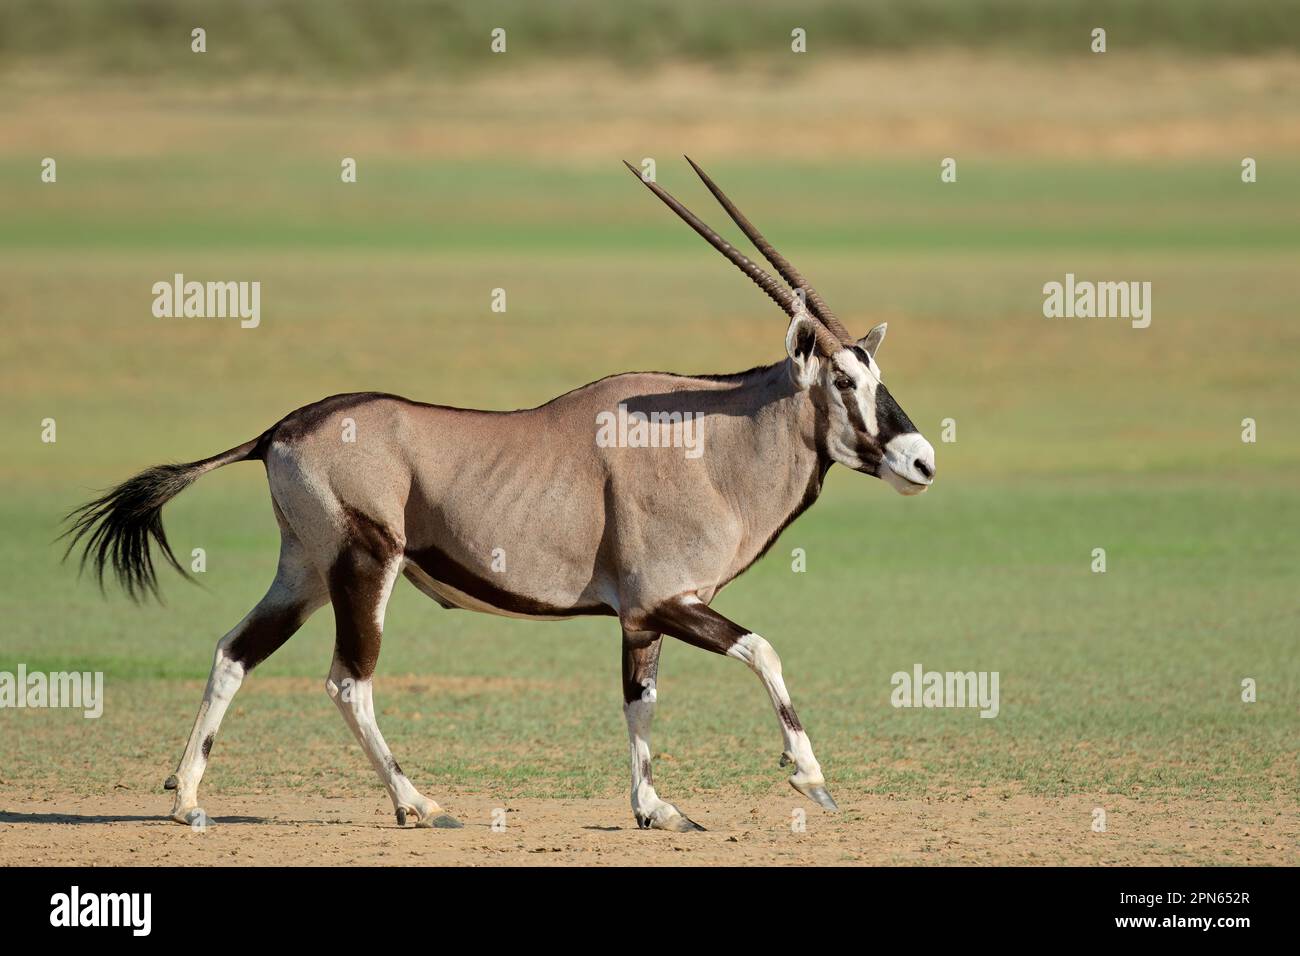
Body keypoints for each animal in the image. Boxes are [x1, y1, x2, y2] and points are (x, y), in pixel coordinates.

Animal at [64, 158, 936, 832]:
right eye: (843, 379)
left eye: (875, 373)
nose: (921, 460)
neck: (709, 441)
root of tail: (279, 428)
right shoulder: (669, 601)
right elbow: (763, 649)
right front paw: (809, 777)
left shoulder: (640, 618)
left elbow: (640, 702)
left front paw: (656, 809)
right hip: (365, 566)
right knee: (349, 680)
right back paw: (417, 804)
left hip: (305, 572)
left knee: (233, 653)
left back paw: (186, 798)